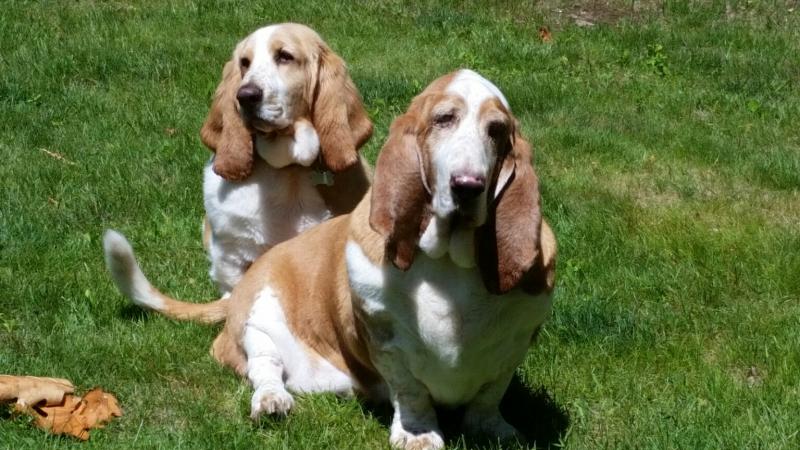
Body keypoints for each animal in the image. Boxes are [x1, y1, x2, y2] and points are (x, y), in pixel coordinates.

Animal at [104, 70, 556, 450]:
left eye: (496, 131)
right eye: (444, 119)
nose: (467, 186)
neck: (447, 260)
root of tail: (235, 292)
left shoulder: (516, 343)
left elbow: (489, 394)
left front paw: (494, 429)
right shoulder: (385, 340)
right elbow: (411, 392)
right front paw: (418, 435)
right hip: (258, 318)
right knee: (264, 367)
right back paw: (272, 401)